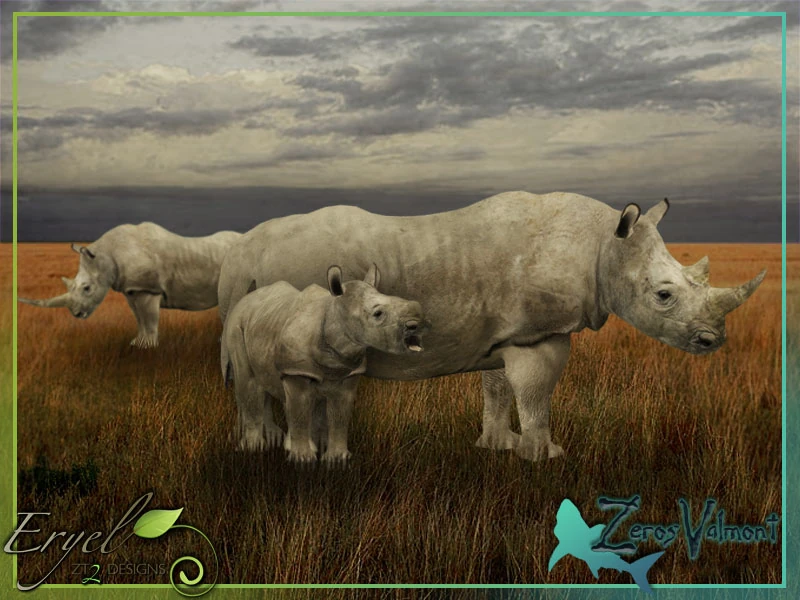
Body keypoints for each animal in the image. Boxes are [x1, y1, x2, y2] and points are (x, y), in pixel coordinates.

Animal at [19, 222, 241, 348]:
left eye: (87, 288)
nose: (76, 314)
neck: (107, 254)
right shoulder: (132, 289)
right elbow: (139, 317)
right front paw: (137, 343)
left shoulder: (147, 288)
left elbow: (149, 318)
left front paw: (148, 347)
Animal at [221, 264, 426, 463]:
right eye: (378, 313)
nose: (415, 324)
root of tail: (246, 299)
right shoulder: (297, 371)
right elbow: (300, 413)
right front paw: (302, 459)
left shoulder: (347, 374)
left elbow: (339, 416)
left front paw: (337, 458)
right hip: (236, 326)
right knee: (249, 382)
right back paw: (254, 449)